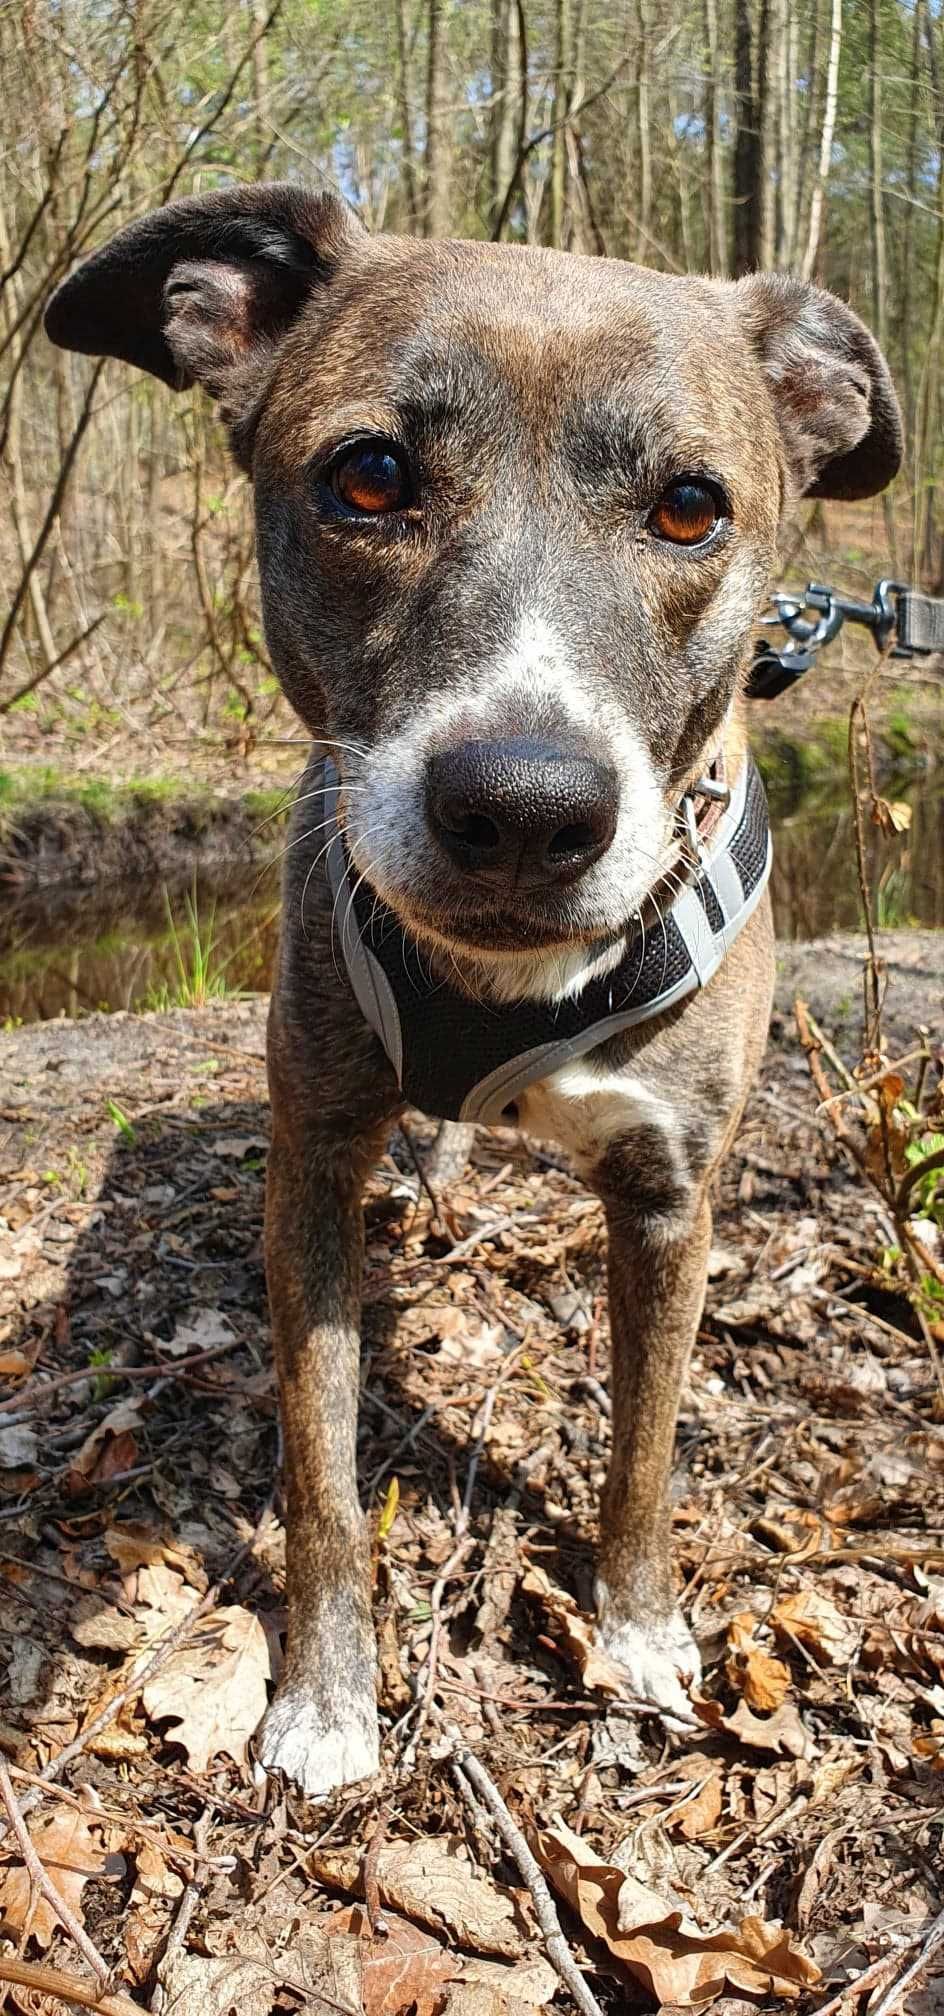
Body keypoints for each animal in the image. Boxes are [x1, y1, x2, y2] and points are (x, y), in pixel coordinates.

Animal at [47, 185, 903, 1798]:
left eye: (690, 506)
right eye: (370, 475)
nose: (522, 809)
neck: (505, 983)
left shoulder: (671, 1197)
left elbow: (644, 1450)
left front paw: (633, 1629)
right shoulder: (313, 1161)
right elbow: (321, 1476)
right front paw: (327, 1699)